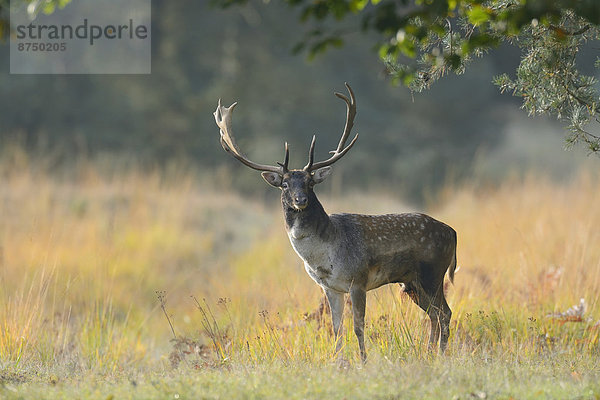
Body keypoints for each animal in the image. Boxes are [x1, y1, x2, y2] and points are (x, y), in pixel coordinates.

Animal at [213, 83, 458, 360]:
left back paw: (440, 355)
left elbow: (358, 326)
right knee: (435, 315)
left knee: (444, 313)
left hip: (432, 272)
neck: (323, 257)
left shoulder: (358, 279)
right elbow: (336, 328)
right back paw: (429, 353)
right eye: (284, 184)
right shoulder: (329, 287)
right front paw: (339, 361)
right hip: (412, 282)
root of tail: (453, 232)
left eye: (310, 182)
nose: (300, 200)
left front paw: (363, 361)